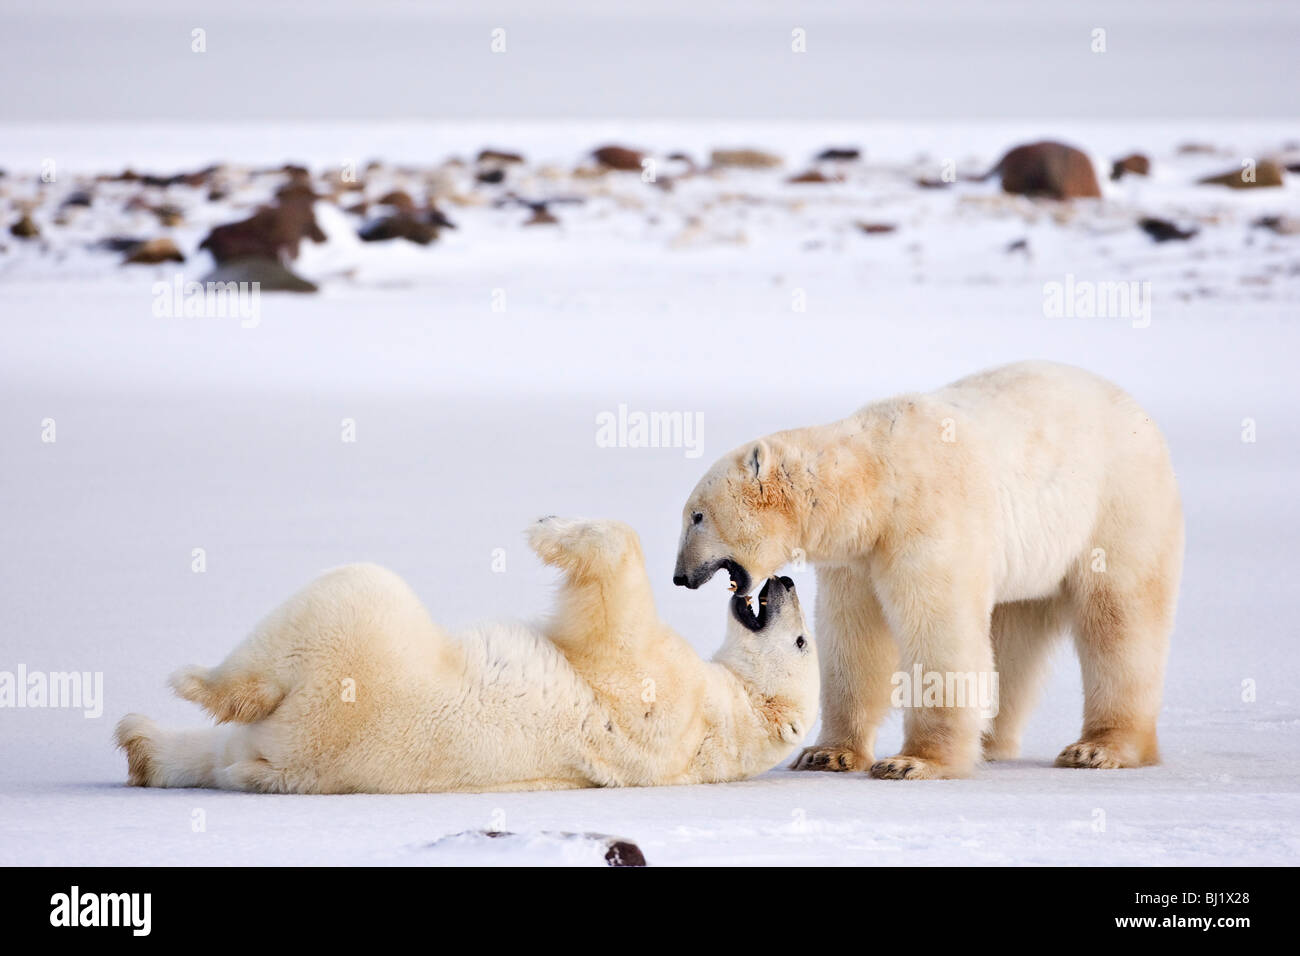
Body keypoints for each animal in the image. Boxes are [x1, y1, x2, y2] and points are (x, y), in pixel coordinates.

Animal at [116, 520, 816, 796]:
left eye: (803, 642)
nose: (786, 582)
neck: (732, 721)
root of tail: (295, 768)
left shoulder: (665, 694)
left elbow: (614, 624)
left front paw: (547, 528)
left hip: (356, 669)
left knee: (342, 595)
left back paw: (191, 683)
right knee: (215, 754)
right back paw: (141, 740)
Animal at [676, 361, 1185, 780]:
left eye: (696, 516)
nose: (680, 576)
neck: (878, 479)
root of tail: (1138, 411)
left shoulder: (929, 520)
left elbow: (939, 630)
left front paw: (912, 762)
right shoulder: (858, 557)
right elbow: (854, 637)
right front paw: (828, 754)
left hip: (1118, 507)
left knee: (1120, 620)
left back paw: (1098, 748)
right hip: (1034, 564)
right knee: (1013, 637)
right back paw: (991, 743)